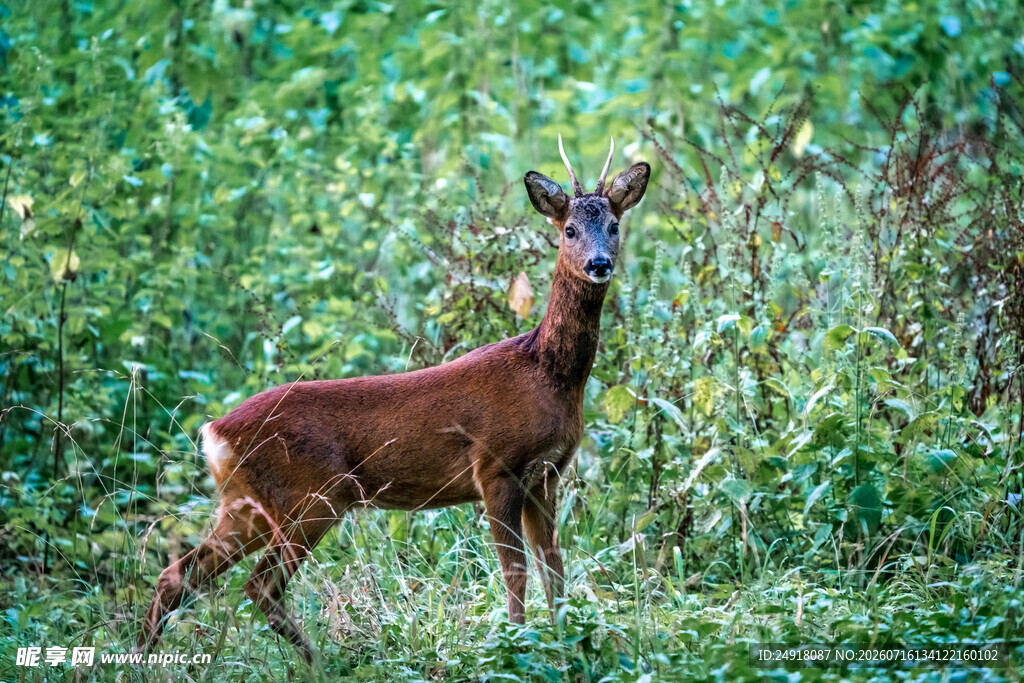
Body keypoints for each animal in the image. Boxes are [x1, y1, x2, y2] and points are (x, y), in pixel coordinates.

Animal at [139, 137, 650, 663]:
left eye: (614, 225)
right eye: (569, 229)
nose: (599, 264)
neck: (547, 374)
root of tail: (214, 432)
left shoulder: (545, 476)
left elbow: (555, 572)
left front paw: (569, 648)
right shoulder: (495, 468)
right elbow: (516, 573)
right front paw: (516, 648)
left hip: (247, 504)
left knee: (177, 574)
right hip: (311, 497)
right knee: (259, 586)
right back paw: (323, 664)